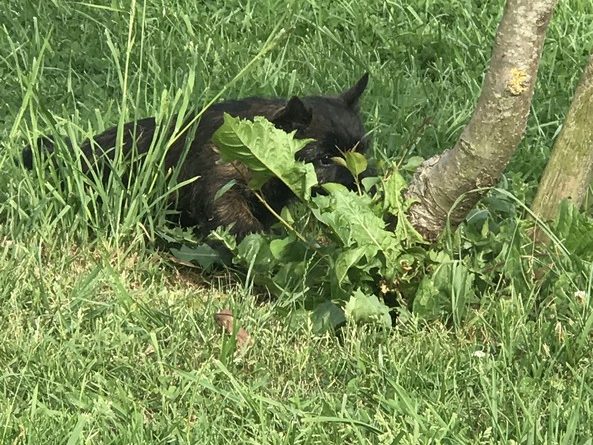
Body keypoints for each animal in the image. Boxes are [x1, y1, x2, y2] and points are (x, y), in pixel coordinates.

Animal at [24, 74, 370, 238]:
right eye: (324, 160)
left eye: (362, 153)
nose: (364, 187)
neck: (255, 149)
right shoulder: (221, 192)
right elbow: (244, 229)